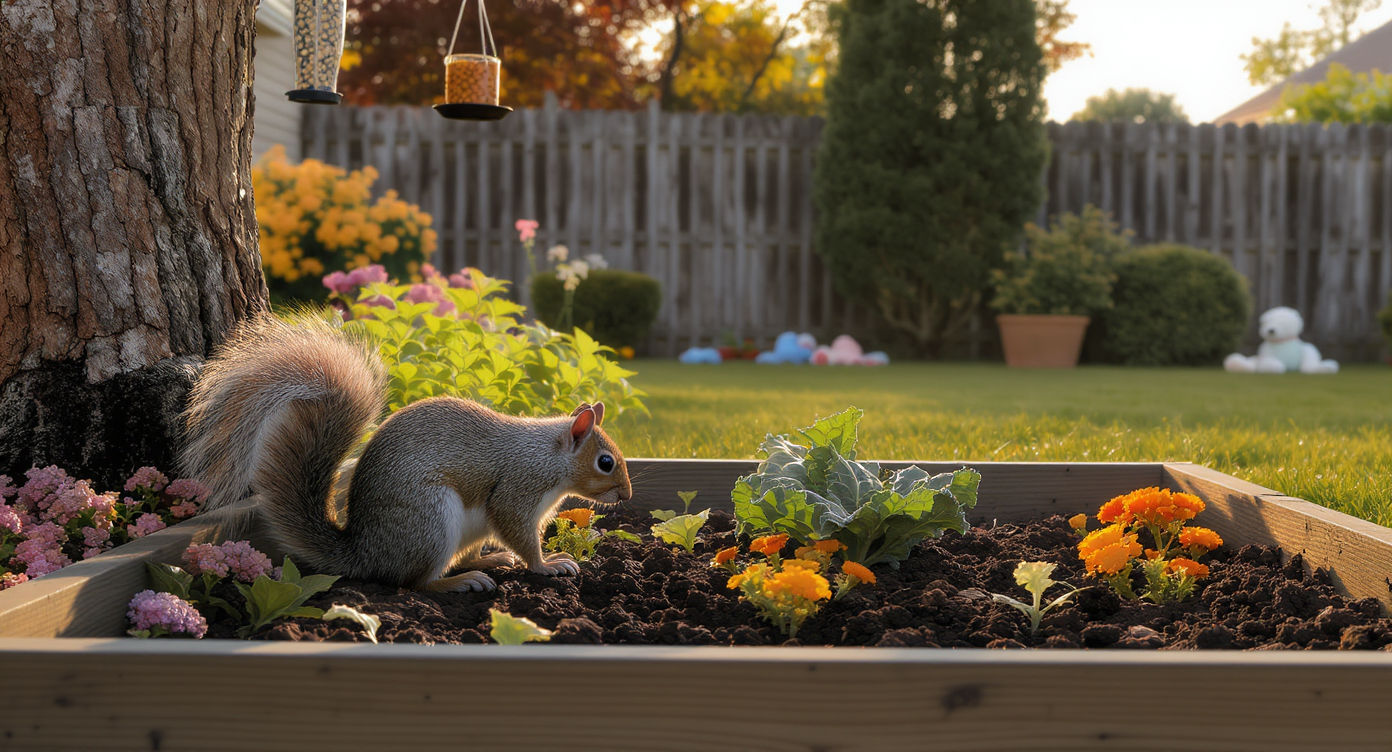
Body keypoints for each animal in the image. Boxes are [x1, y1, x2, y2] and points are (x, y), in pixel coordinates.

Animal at [179, 315, 632, 592]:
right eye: (605, 462)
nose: (626, 495)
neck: (548, 456)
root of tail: (364, 553)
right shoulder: (517, 490)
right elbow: (520, 533)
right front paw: (548, 565)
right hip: (430, 520)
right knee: (415, 583)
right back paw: (457, 582)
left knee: (460, 558)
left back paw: (488, 562)